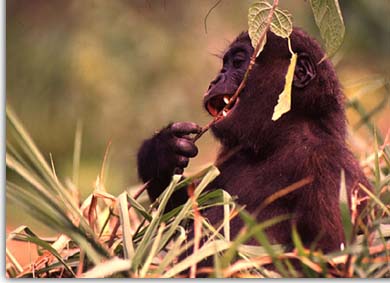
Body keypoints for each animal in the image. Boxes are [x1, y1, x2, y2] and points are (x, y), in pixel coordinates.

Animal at [137, 28, 372, 255]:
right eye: (224, 65)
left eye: (238, 63)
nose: (215, 80)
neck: (280, 140)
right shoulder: (231, 154)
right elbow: (179, 215)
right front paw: (162, 153)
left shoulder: (331, 166)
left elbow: (327, 252)